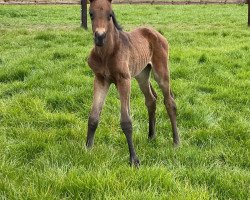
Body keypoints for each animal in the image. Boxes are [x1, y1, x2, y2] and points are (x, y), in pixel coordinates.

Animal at [86, 0, 180, 166]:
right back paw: (151, 136)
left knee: (170, 102)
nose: (100, 37)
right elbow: (93, 117)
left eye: (110, 15)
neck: (107, 54)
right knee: (151, 100)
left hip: (161, 73)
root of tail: (155, 32)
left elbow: (126, 121)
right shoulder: (101, 79)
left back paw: (176, 141)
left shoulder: (124, 80)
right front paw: (88, 149)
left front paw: (134, 159)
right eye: (91, 14)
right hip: (142, 75)